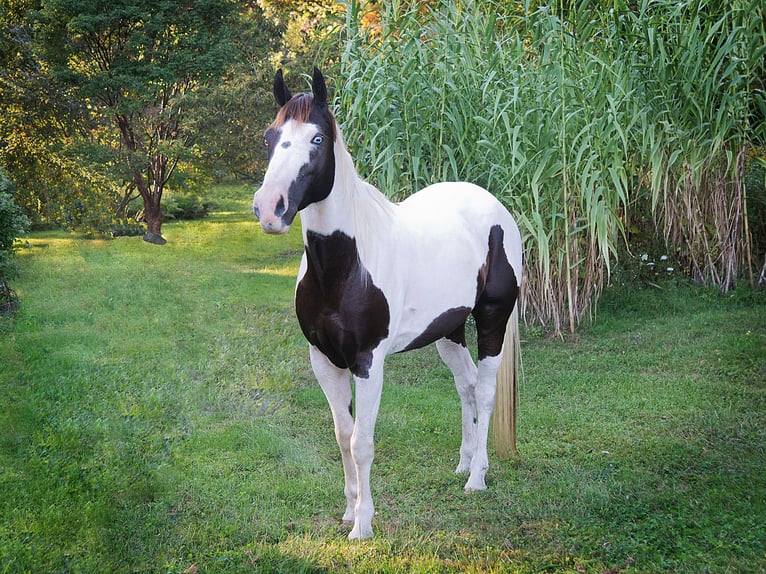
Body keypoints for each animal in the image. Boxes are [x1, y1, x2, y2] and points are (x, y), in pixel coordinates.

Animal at [252, 70, 520, 544]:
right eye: (270, 137)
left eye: (317, 139)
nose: (270, 209)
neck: (345, 268)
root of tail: (496, 209)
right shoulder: (324, 360)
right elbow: (342, 435)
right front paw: (348, 510)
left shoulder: (368, 362)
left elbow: (362, 442)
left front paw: (363, 524)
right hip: (448, 331)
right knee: (466, 386)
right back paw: (464, 463)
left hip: (492, 320)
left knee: (486, 392)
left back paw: (477, 478)